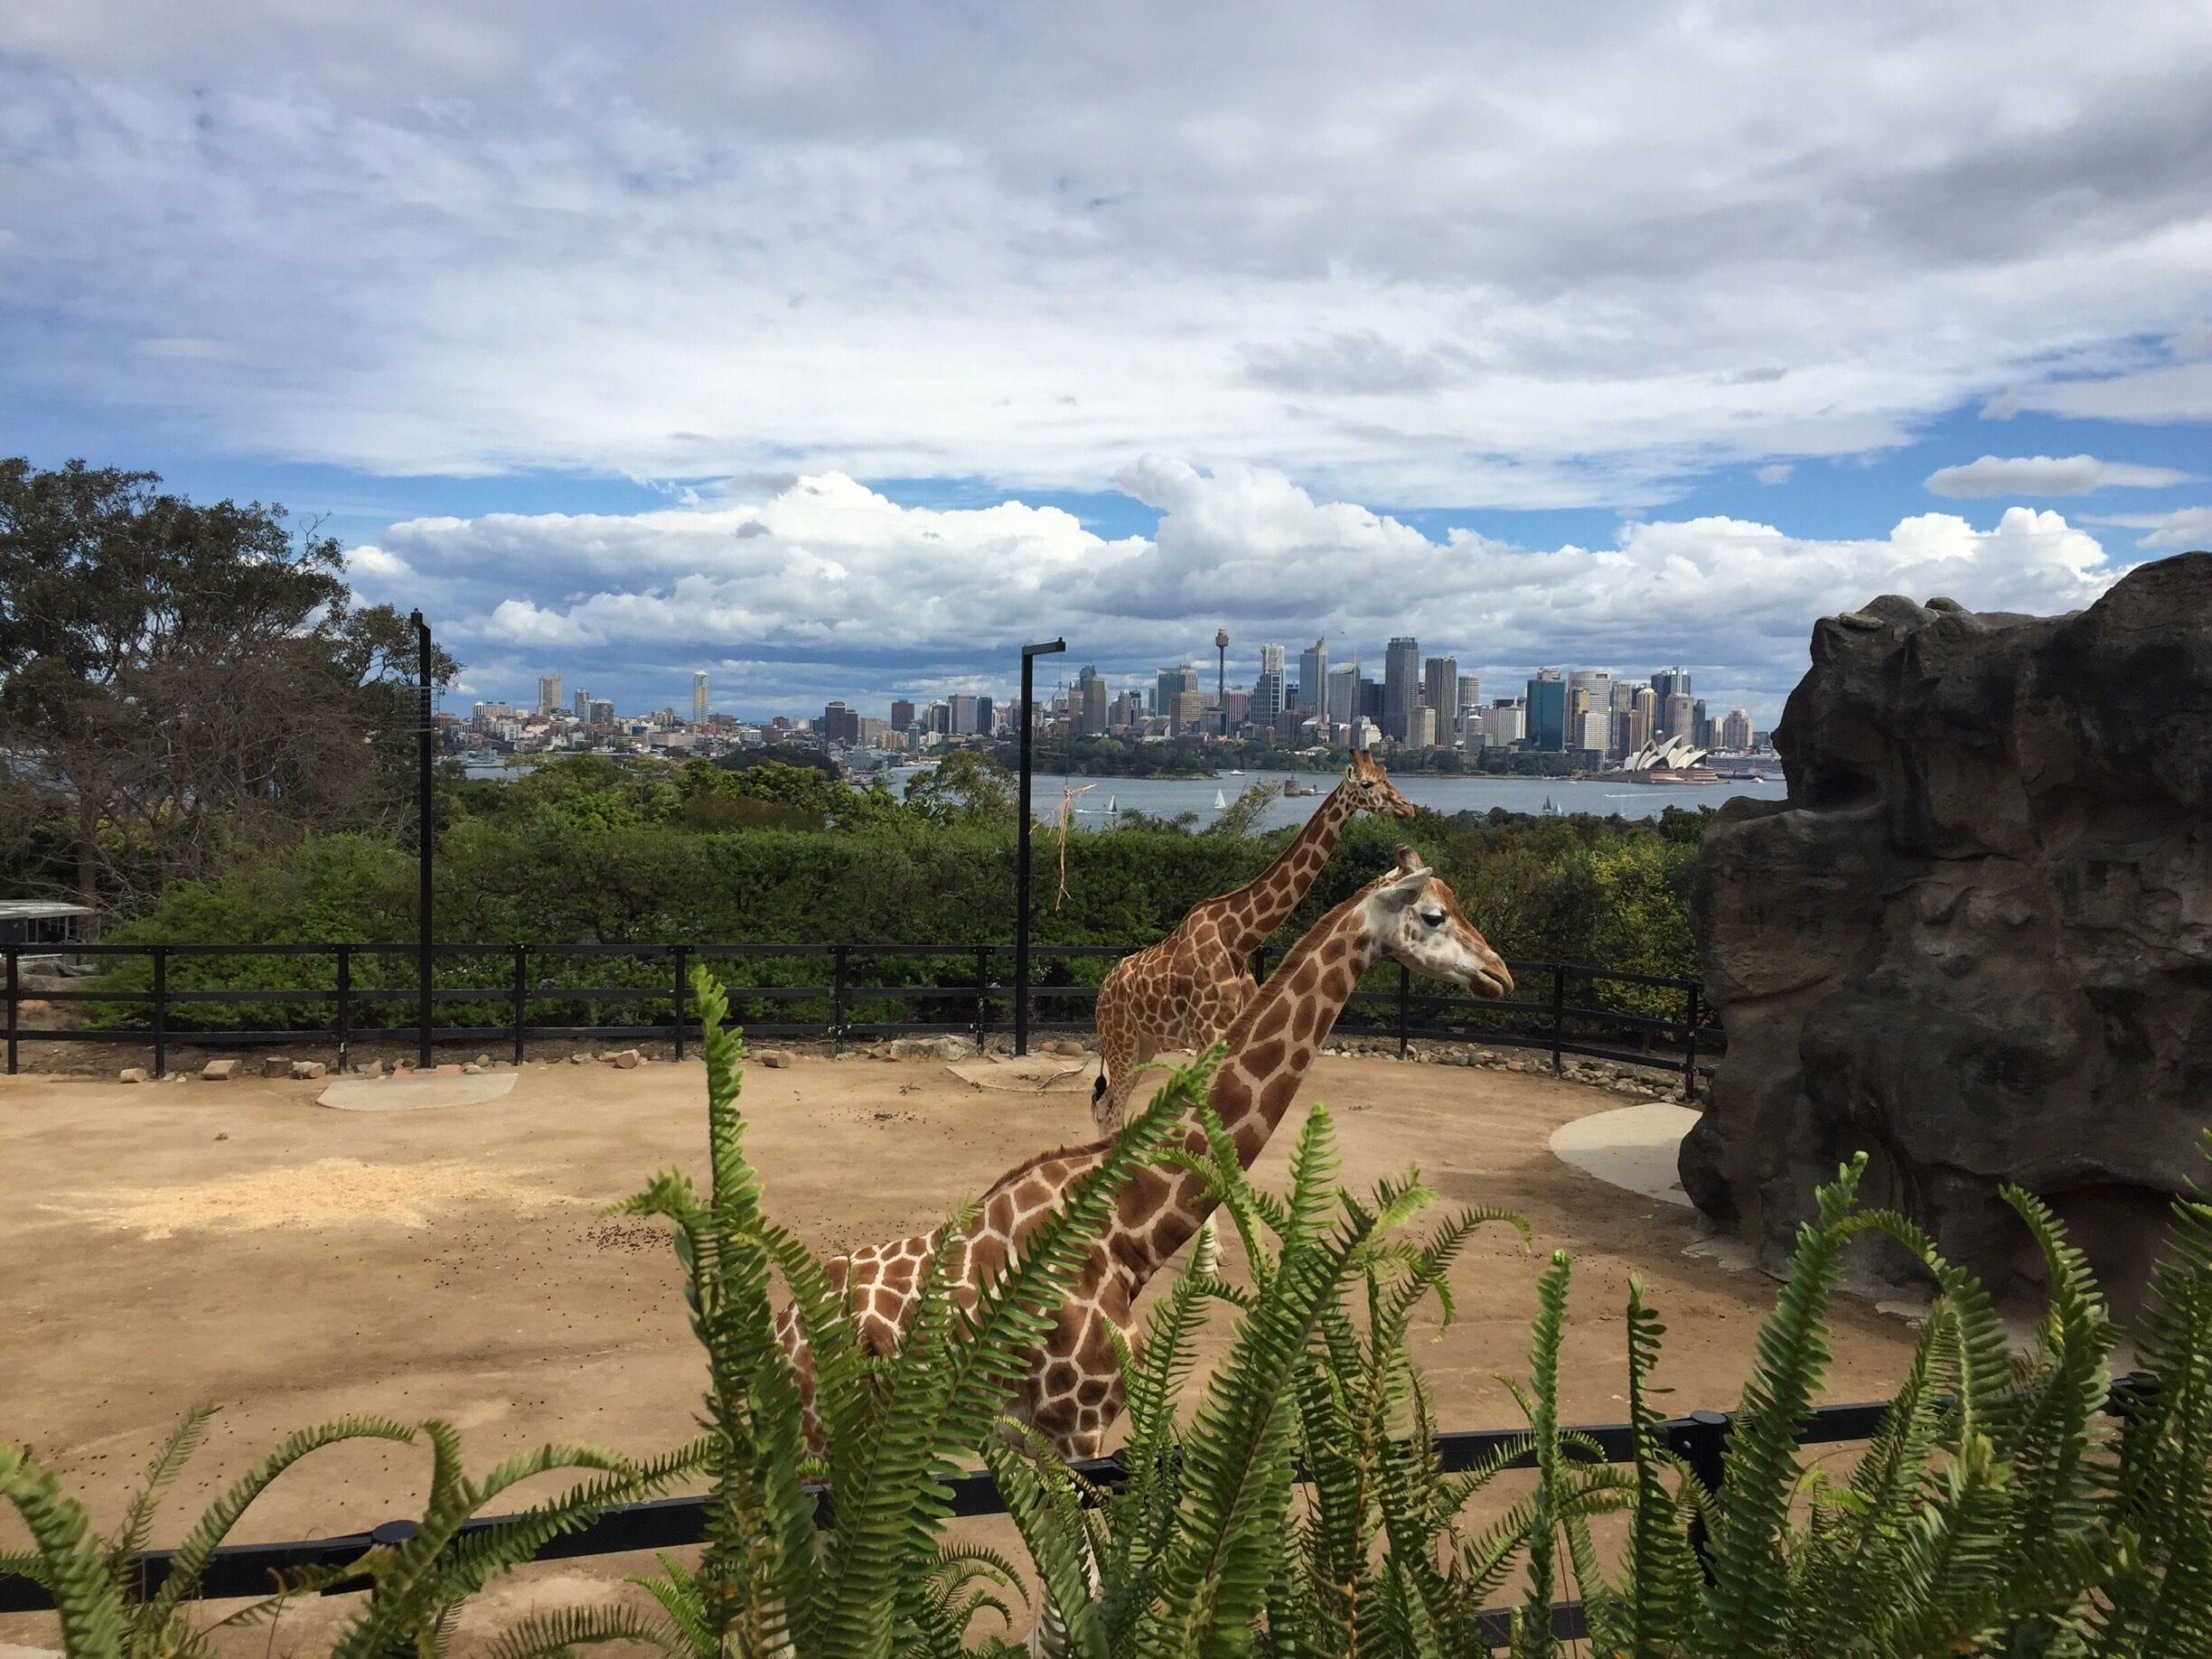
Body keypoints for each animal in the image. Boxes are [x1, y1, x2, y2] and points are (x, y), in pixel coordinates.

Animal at [776, 846, 1511, 1461]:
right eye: (1434, 914)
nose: (1499, 973)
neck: (1124, 1230)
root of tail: (782, 1326)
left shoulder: (1036, 1435)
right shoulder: (1077, 1427)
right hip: (821, 1442)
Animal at [1088, 750, 1417, 1136]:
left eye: (1386, 775)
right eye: (1366, 784)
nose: (1407, 807)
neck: (1240, 938)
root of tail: (1103, 989)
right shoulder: (1208, 1033)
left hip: (1146, 1044)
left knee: (1109, 1107)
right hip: (1120, 1040)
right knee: (1109, 1109)